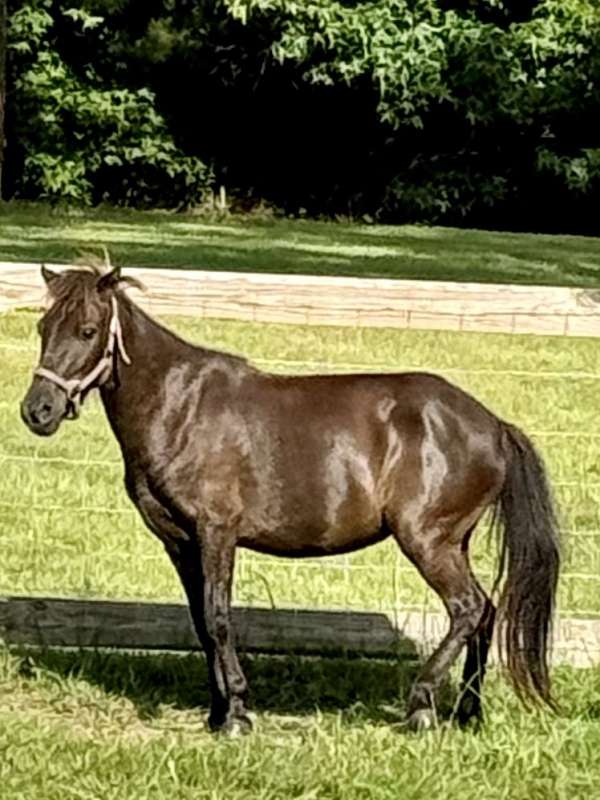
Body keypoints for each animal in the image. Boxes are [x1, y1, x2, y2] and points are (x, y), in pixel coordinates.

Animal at [20, 264, 560, 734]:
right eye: (44, 326)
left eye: (88, 330)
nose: (37, 411)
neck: (179, 407)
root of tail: (493, 425)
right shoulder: (178, 540)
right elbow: (199, 621)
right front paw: (216, 712)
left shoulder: (217, 531)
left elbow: (218, 617)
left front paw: (238, 713)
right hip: (453, 542)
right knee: (485, 613)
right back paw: (468, 713)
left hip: (428, 540)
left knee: (468, 608)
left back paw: (421, 706)